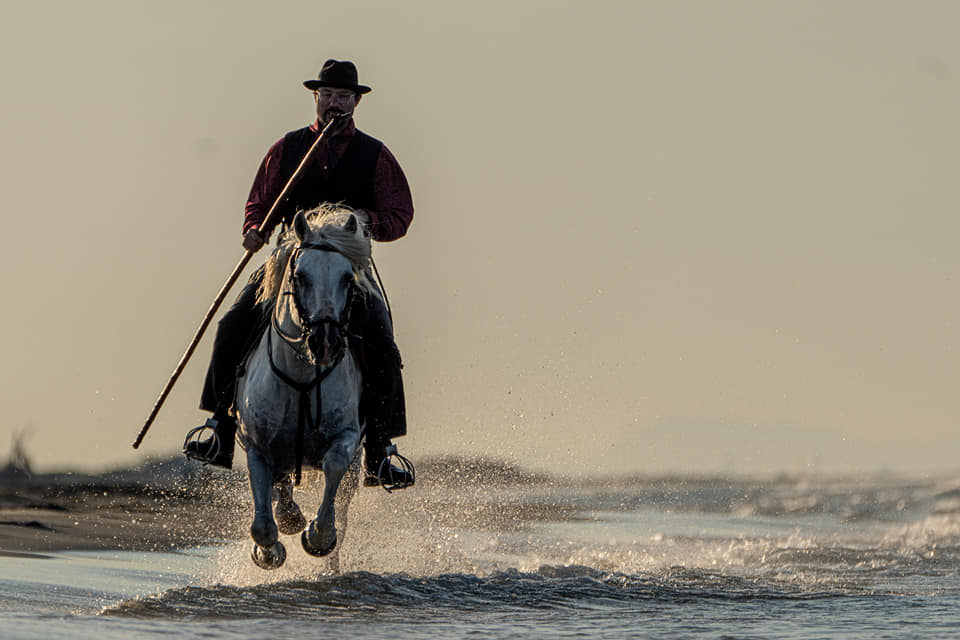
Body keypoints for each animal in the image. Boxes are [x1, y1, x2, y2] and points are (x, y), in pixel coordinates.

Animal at [235, 205, 372, 568]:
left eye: (347, 278)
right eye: (300, 276)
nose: (325, 342)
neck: (302, 377)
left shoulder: (346, 437)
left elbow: (334, 467)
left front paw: (318, 537)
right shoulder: (256, 445)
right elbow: (263, 525)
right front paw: (270, 549)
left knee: (342, 508)